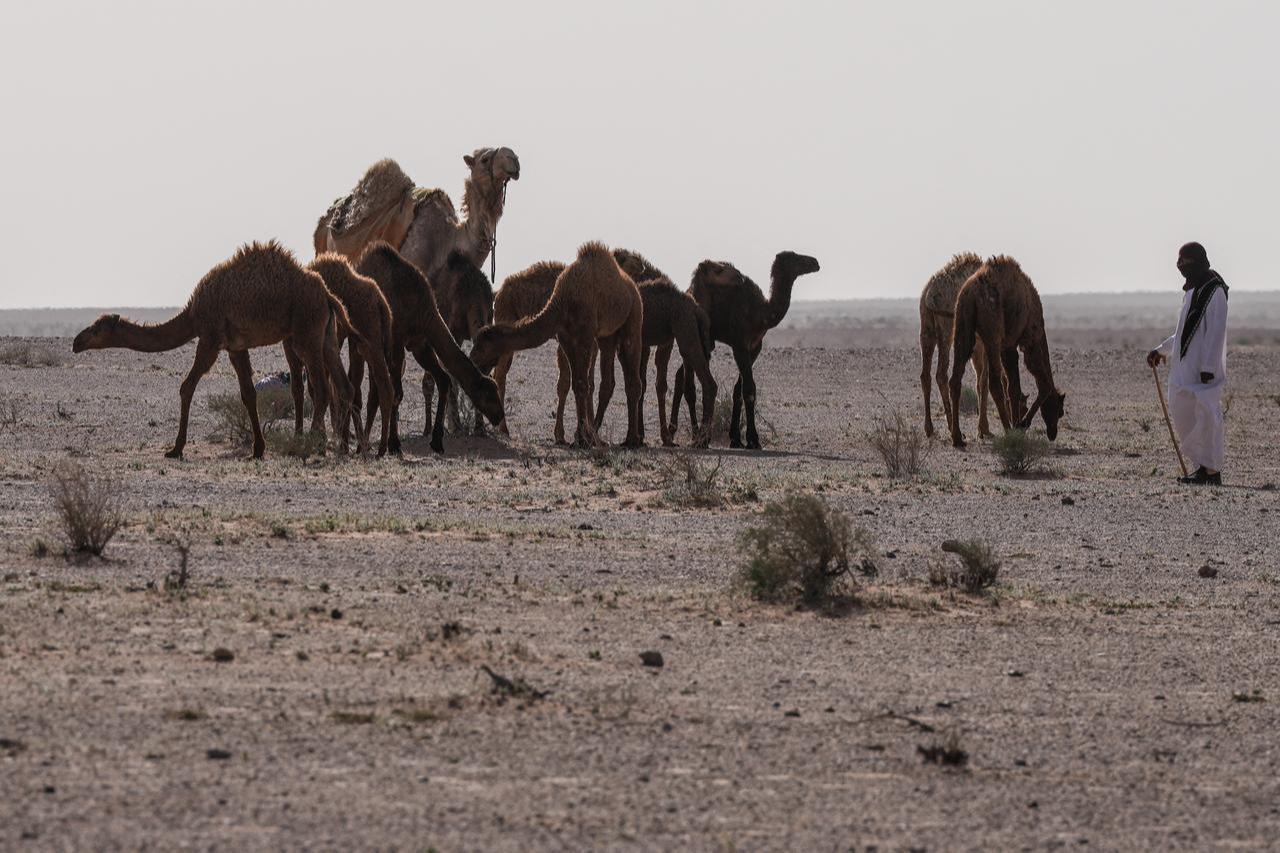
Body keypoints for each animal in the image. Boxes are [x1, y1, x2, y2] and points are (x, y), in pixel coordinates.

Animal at [72, 241, 355, 460]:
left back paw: (311, 445)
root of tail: (328, 295)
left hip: (305, 333)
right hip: (326, 334)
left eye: (96, 329)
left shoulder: (209, 338)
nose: (76, 342)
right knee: (343, 385)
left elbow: (186, 386)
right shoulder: (235, 347)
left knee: (321, 388)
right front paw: (257, 449)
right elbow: (248, 394)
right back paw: (345, 446)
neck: (192, 316)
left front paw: (175, 449)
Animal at [353, 243, 503, 455]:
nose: (499, 416)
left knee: (376, 389)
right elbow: (397, 393)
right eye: (489, 395)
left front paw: (437, 441)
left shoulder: (420, 344)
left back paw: (364, 444)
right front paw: (394, 444)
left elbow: (443, 380)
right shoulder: (398, 340)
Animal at [471, 242, 644, 448]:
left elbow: (581, 383)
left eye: (480, 346)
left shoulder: (584, 336)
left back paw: (631, 439)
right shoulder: (567, 337)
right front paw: (579, 437)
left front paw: (581, 437)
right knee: (500, 375)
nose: (471, 358)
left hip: (631, 318)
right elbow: (576, 383)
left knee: (630, 377)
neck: (564, 299)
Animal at [674, 251, 820, 450]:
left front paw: (735, 438)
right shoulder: (739, 344)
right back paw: (697, 436)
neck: (760, 314)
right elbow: (749, 390)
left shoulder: (755, 347)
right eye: (795, 257)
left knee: (682, 376)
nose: (815, 262)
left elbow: (738, 390)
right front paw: (753, 439)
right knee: (690, 384)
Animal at [947, 256, 1066, 448]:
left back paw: (957, 437)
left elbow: (1014, 388)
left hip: (962, 322)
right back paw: (1008, 431)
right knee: (994, 382)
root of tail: (971, 292)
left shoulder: (1008, 347)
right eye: (1059, 411)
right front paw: (1021, 425)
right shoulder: (1030, 339)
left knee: (956, 378)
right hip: (992, 326)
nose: (1052, 433)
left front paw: (1018, 423)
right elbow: (1042, 384)